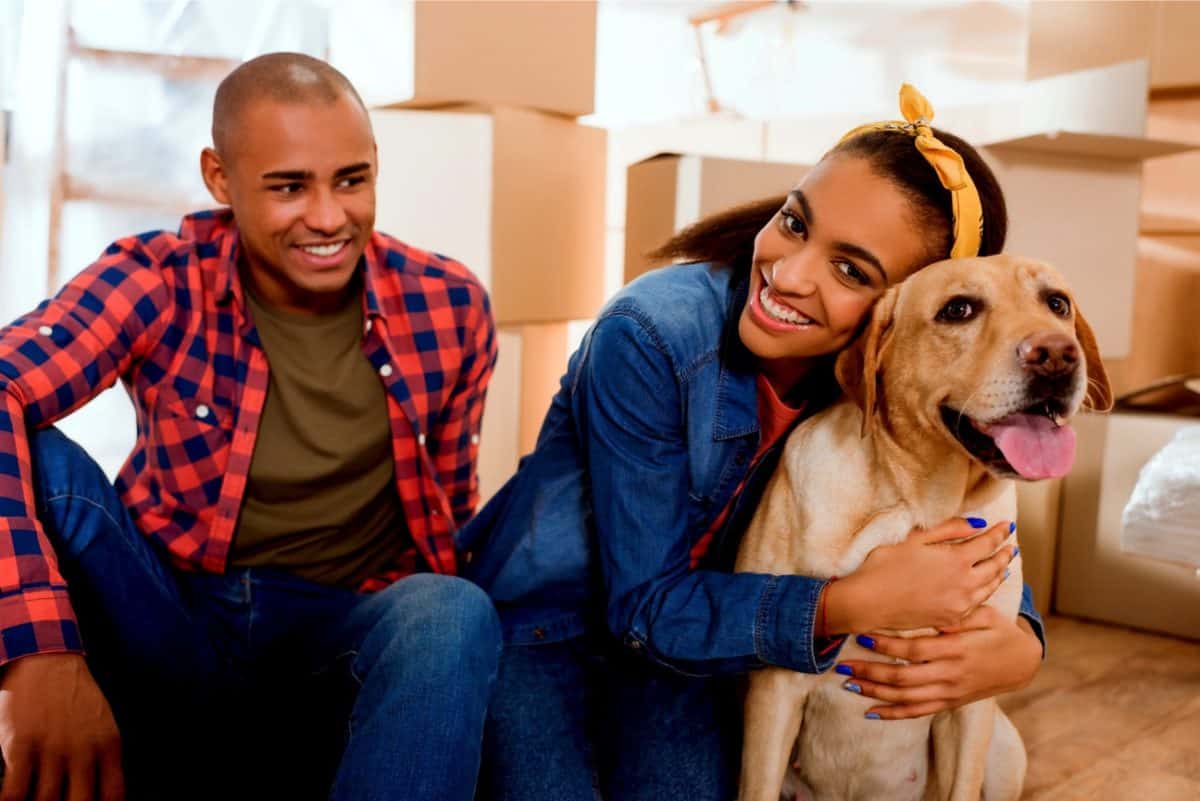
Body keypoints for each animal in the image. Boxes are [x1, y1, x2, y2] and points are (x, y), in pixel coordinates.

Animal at [734, 255, 1108, 801]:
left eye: (1057, 303)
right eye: (958, 310)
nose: (1058, 355)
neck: (913, 508)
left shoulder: (972, 690)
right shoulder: (775, 686)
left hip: (1003, 748)